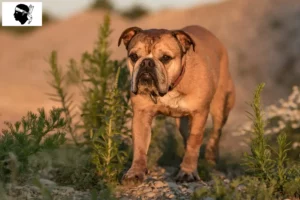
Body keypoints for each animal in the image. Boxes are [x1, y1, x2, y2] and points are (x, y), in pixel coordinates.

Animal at [118, 25, 236, 184]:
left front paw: (187, 172)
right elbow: (140, 146)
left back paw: (211, 157)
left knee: (216, 131)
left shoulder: (199, 113)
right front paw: (135, 172)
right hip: (183, 122)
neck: (170, 88)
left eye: (166, 58)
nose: (147, 62)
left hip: (220, 105)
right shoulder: (141, 115)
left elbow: (194, 142)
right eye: (134, 56)